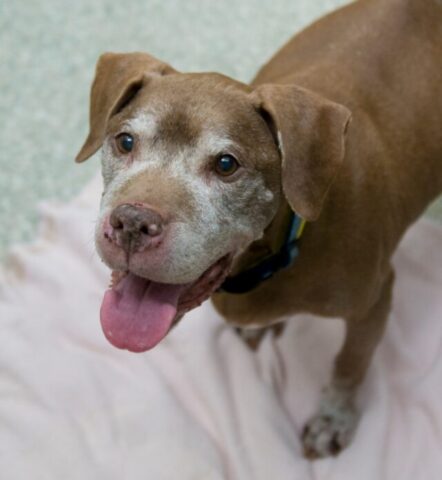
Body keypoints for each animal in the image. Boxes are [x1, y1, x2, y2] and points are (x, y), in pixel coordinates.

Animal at [76, 0, 442, 458]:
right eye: (125, 141)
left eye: (226, 164)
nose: (132, 223)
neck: (289, 241)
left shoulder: (374, 299)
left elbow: (350, 362)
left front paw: (334, 417)